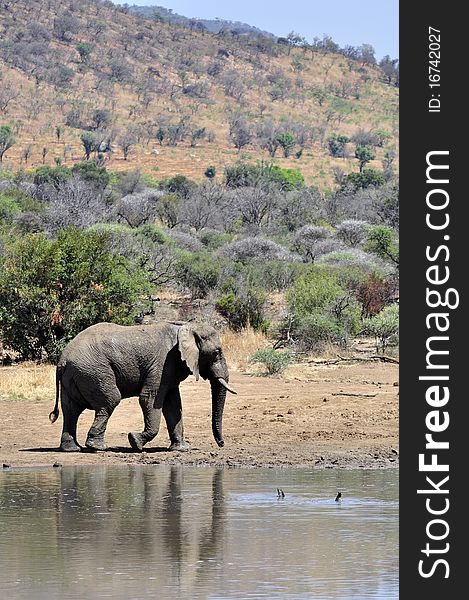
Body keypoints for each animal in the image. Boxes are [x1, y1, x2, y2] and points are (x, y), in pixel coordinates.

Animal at [49, 322, 236, 452]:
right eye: (217, 352)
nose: (222, 444)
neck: (184, 327)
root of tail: (62, 360)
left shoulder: (170, 370)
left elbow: (173, 405)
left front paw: (182, 449)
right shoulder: (162, 364)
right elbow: (149, 399)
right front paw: (135, 442)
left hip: (75, 375)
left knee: (71, 410)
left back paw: (72, 449)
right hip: (93, 371)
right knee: (109, 401)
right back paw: (97, 448)